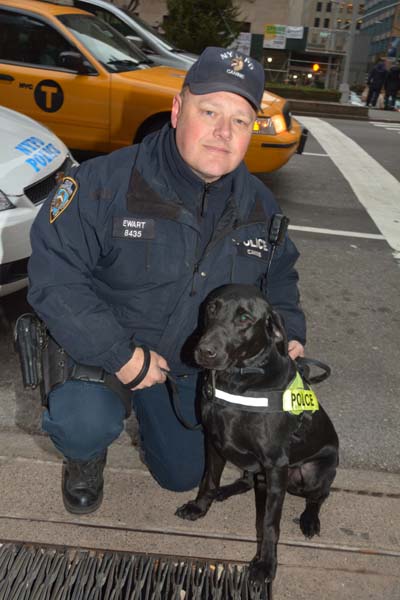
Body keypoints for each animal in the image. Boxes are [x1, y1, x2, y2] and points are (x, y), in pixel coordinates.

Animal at [175, 284, 338, 584]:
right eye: (212, 308)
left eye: (244, 319)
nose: (204, 351)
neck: (237, 380)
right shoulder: (213, 441)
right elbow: (208, 481)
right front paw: (200, 507)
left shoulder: (275, 465)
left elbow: (270, 523)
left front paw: (266, 564)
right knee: (248, 480)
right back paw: (226, 491)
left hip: (314, 473)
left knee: (319, 497)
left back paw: (310, 519)